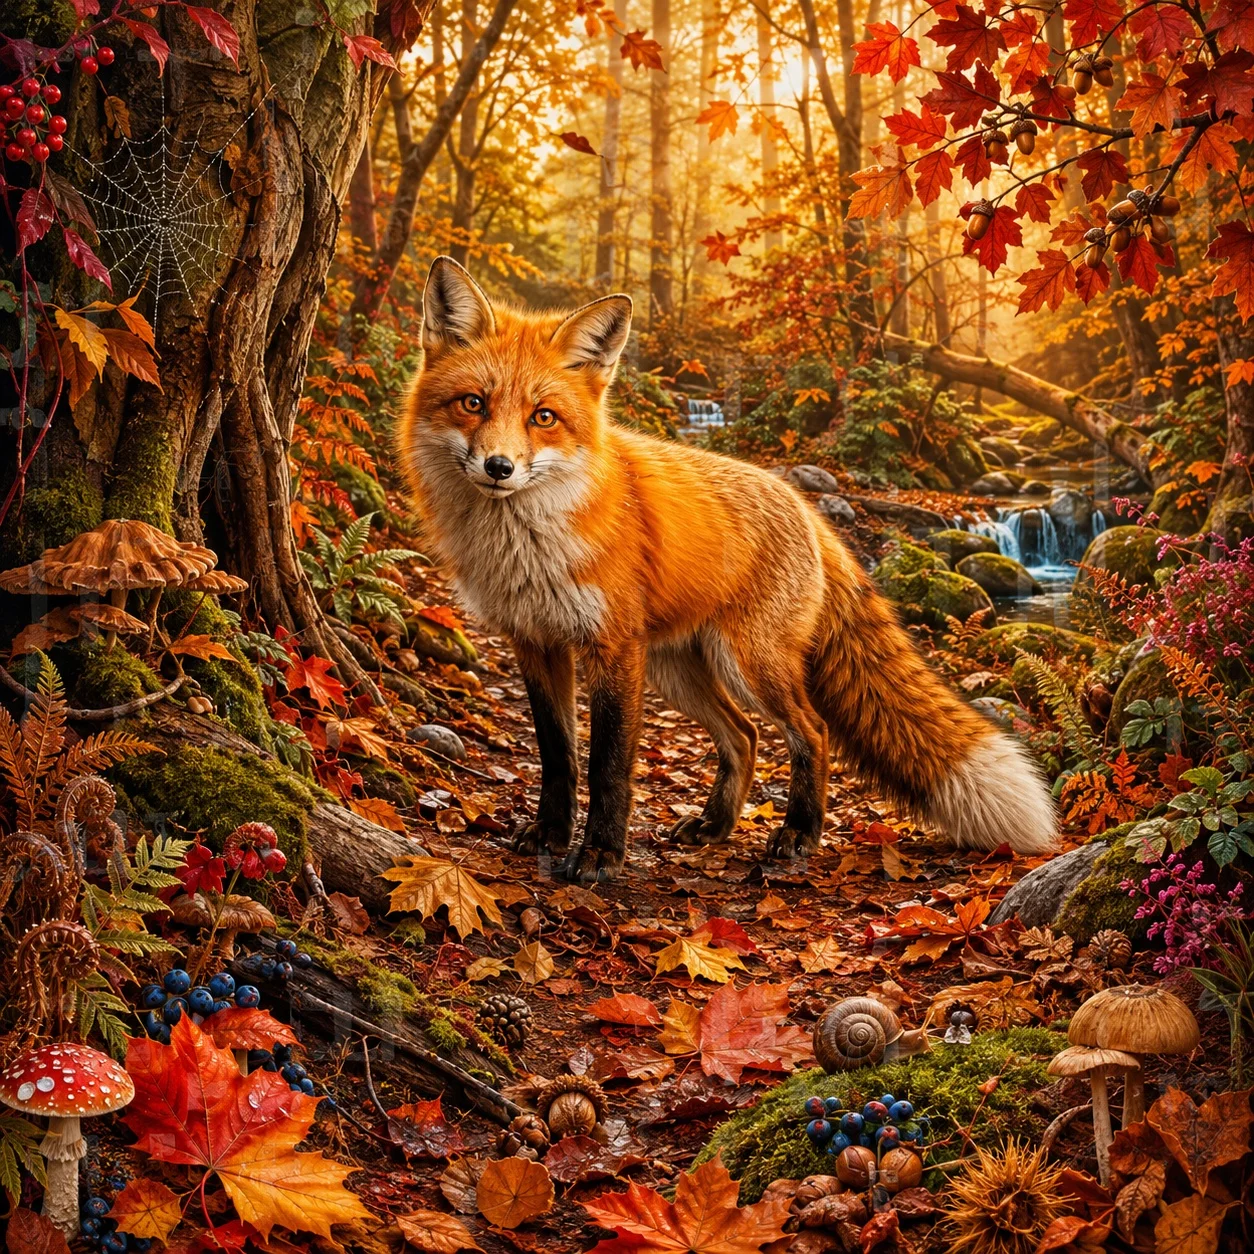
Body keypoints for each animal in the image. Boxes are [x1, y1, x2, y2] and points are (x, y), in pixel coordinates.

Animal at [397, 256, 1058, 883]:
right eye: (473, 403)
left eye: (543, 417)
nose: (499, 467)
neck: (528, 545)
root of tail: (807, 508)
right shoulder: (535, 641)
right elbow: (559, 757)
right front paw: (550, 838)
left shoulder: (613, 647)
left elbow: (609, 765)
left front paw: (601, 856)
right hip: (681, 669)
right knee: (745, 735)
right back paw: (716, 825)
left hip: (746, 663)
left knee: (810, 731)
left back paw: (798, 835)